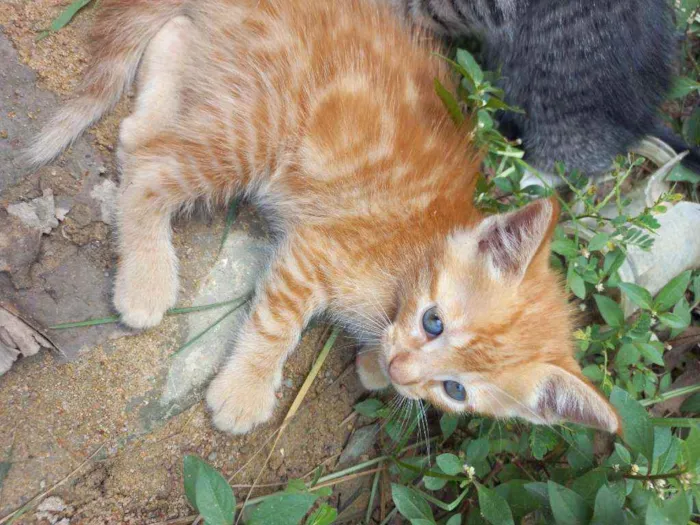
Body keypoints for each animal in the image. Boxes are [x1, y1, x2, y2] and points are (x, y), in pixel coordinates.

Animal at [28, 0, 616, 434]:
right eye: (434, 321)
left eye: (456, 389)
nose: (402, 368)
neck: (417, 254)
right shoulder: (316, 248)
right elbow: (275, 324)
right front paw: (244, 391)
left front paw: (375, 369)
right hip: (257, 130)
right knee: (151, 168)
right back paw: (146, 281)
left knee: (145, 124)